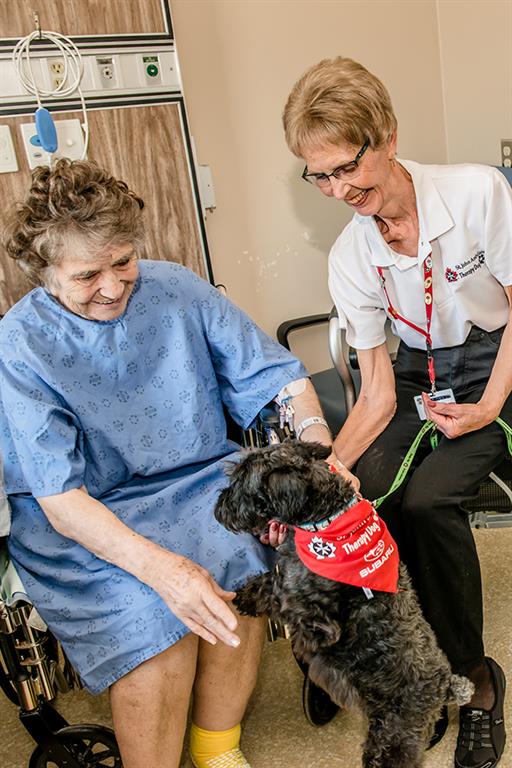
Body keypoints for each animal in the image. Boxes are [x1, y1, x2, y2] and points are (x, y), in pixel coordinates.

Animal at [214, 440, 474, 768]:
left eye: (240, 482)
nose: (218, 507)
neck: (326, 519)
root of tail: (445, 685)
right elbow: (270, 584)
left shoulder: (315, 622)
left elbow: (278, 597)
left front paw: (246, 597)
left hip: (391, 740)